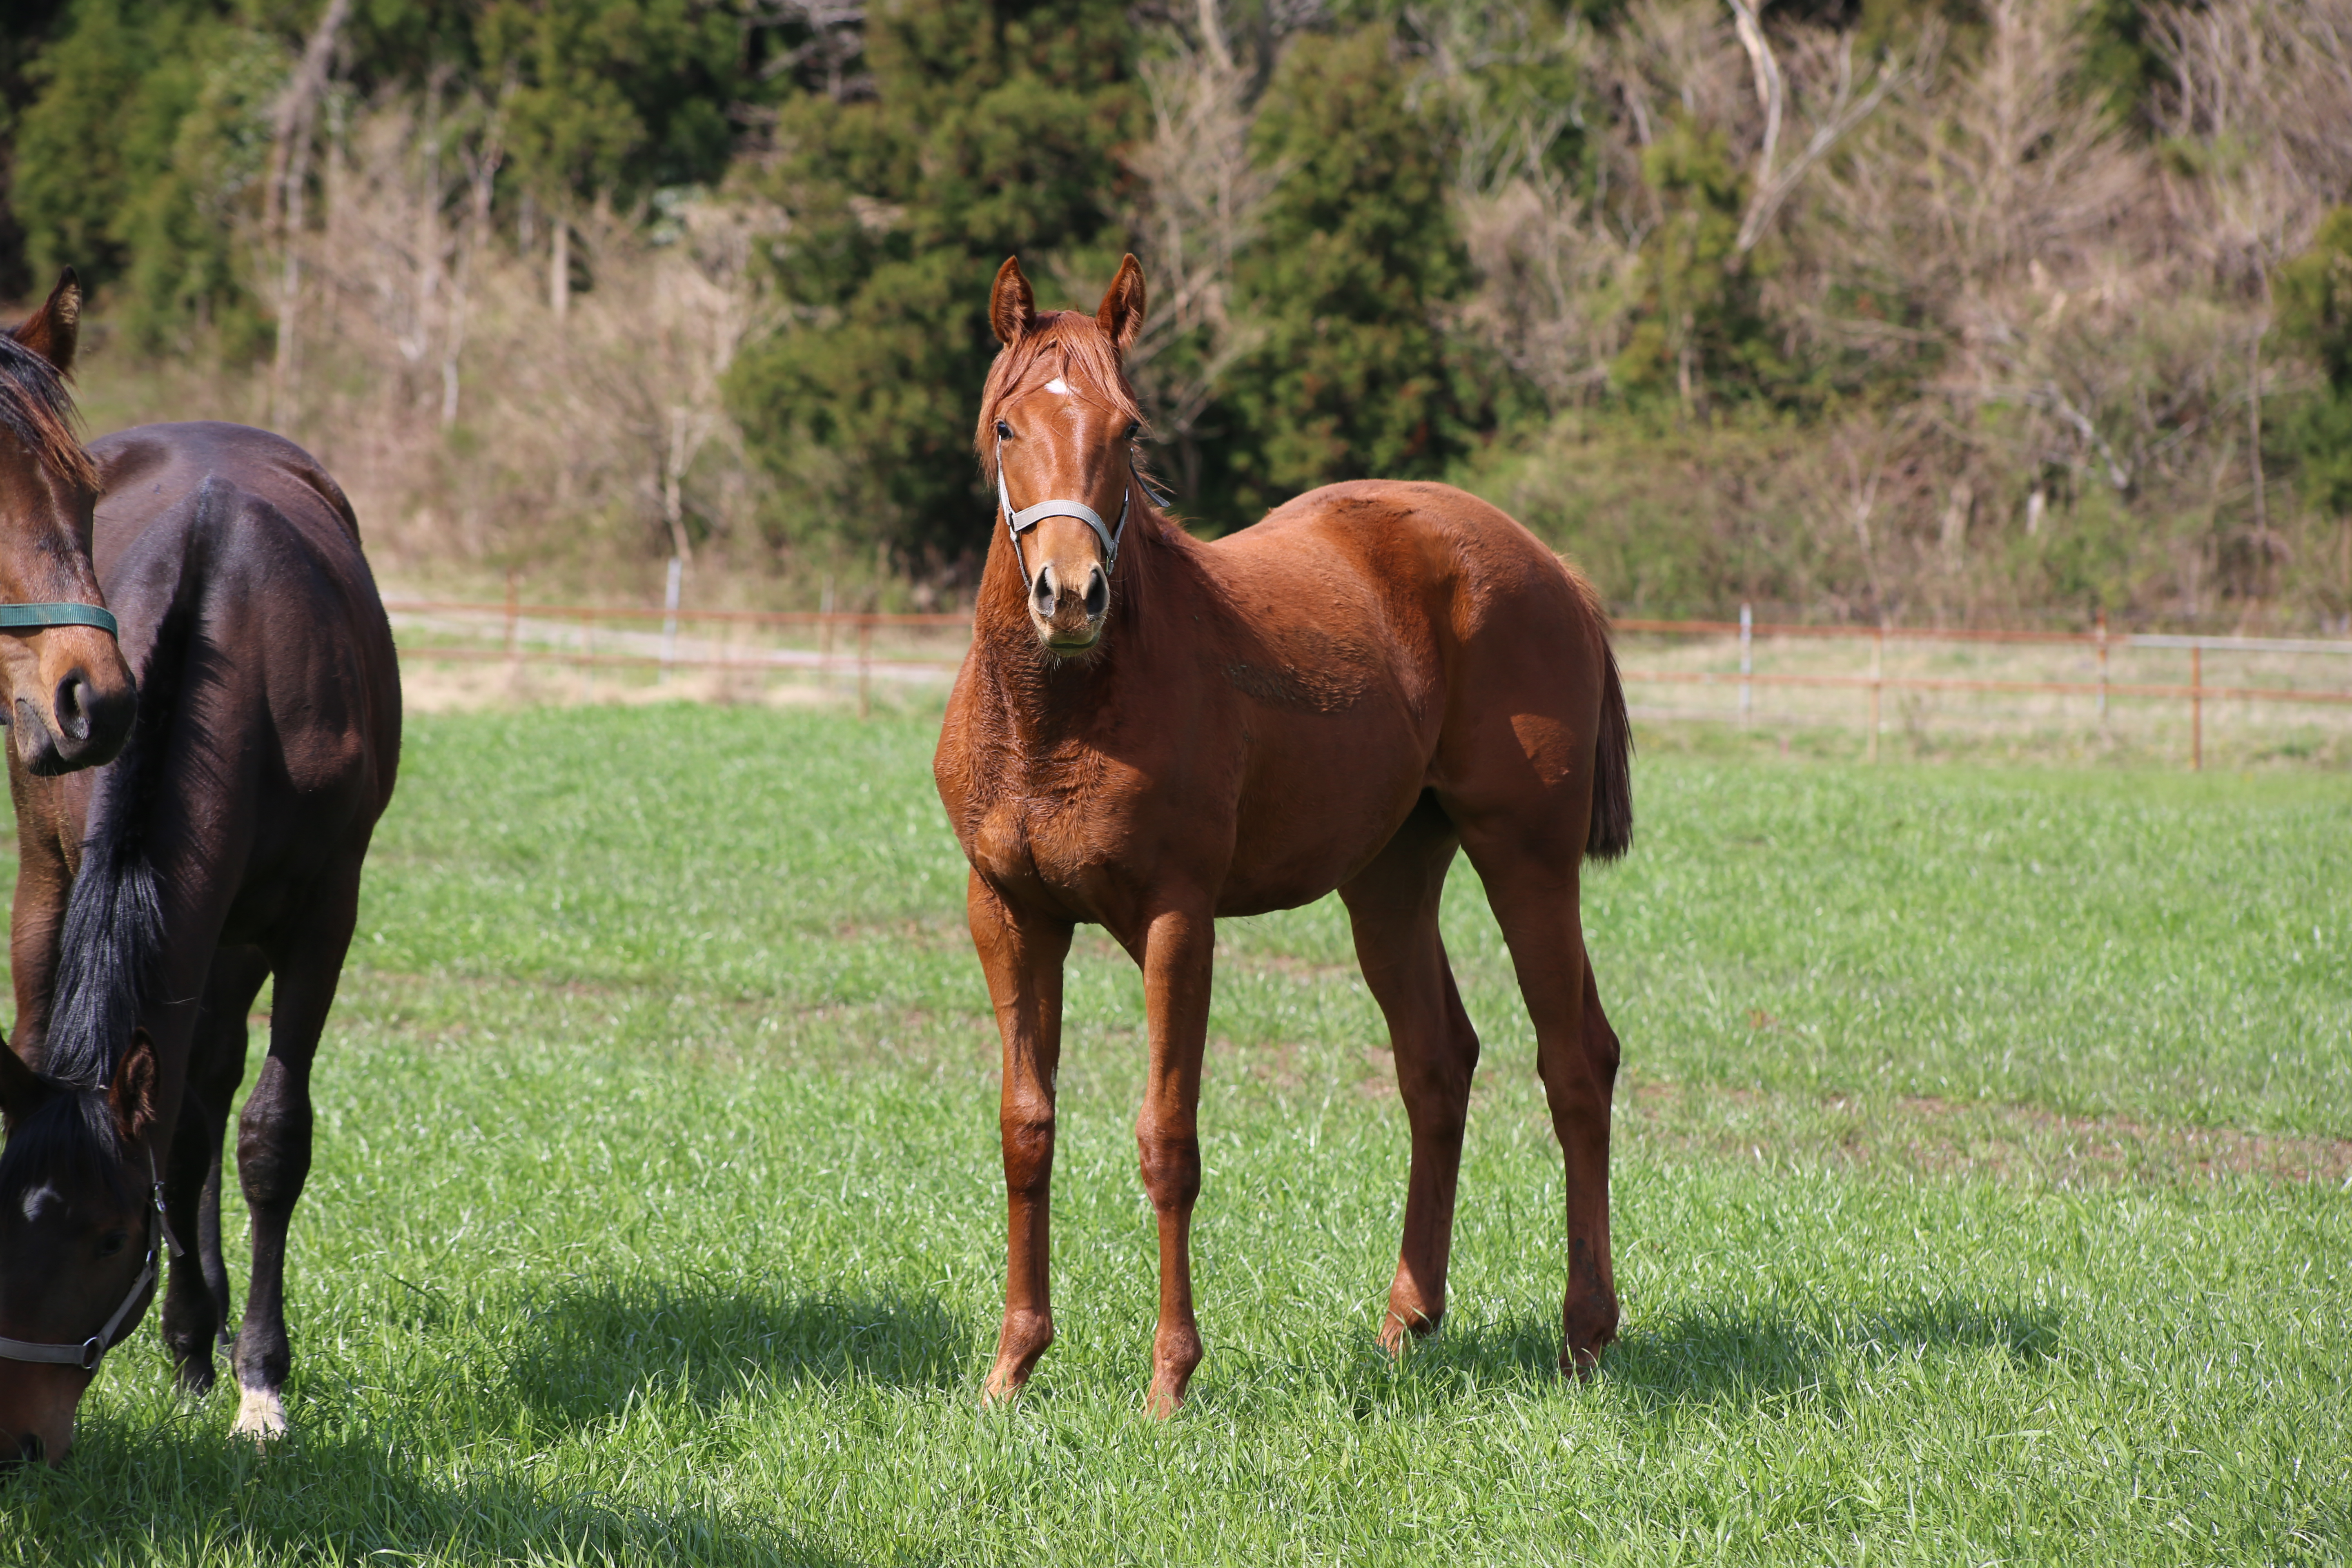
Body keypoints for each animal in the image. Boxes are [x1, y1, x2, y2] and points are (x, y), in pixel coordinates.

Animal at [0, 276, 400, 1467]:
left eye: (105, 1238)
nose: (19, 1436)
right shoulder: (75, 879)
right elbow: (172, 1126)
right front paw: (189, 1341)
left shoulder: (319, 918)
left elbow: (271, 1136)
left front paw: (260, 1377)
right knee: (188, 1103)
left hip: (238, 933)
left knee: (214, 1096)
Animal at [936, 255, 1637, 1410]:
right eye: (1006, 424)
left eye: (1128, 428)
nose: (1071, 594)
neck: (1061, 713)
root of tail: (1550, 564)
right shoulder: (1010, 915)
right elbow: (1023, 1129)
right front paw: (1010, 1368)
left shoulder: (1177, 921)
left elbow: (1167, 1139)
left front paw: (1170, 1381)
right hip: (1388, 881)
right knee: (1436, 1063)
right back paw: (1407, 1323)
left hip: (1525, 859)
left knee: (1576, 1060)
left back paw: (1585, 1334)